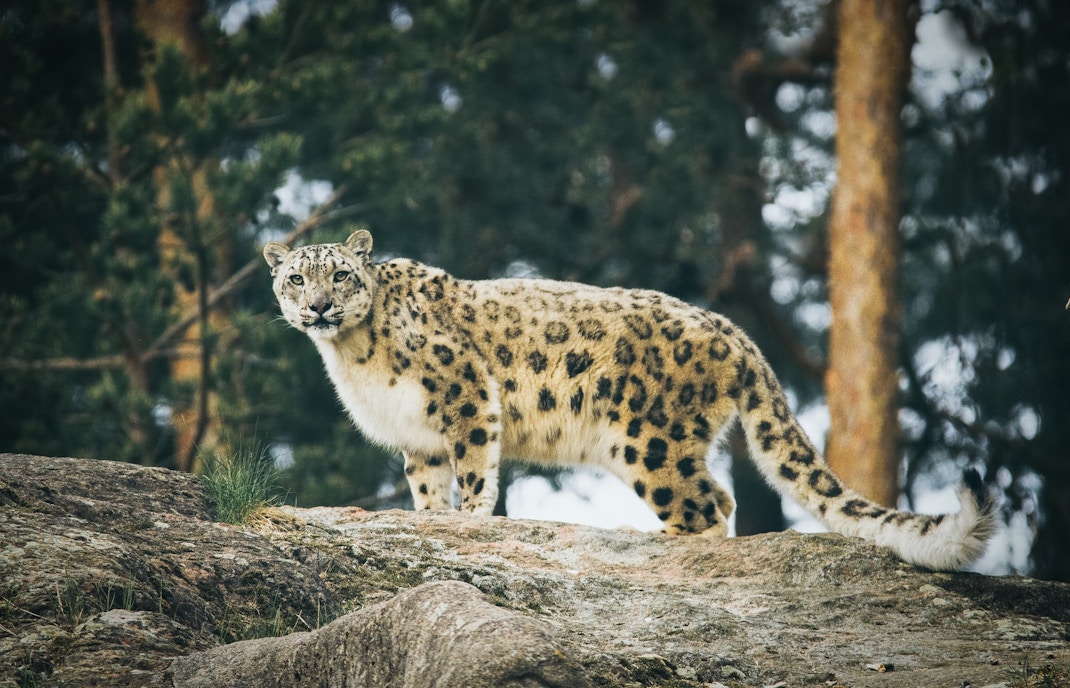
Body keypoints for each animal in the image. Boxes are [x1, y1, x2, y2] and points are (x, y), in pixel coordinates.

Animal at [264, 230, 997, 570]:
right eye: (296, 277)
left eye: (341, 274)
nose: (319, 305)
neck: (351, 358)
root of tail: (731, 329)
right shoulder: (416, 438)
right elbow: (426, 485)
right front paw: (430, 519)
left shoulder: (464, 393)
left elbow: (473, 466)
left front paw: (469, 517)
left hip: (645, 438)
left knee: (708, 503)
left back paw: (648, 538)